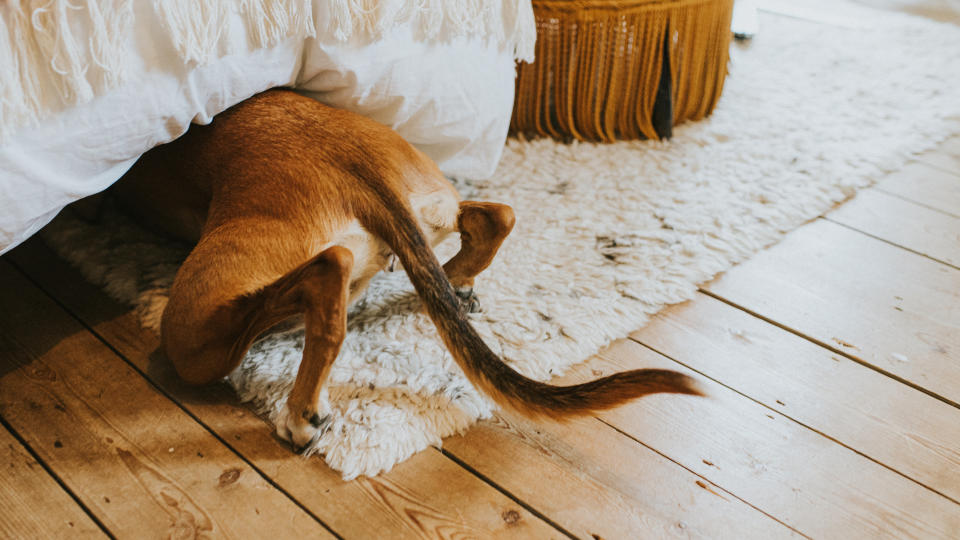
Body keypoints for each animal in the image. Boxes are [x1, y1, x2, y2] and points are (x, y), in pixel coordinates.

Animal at [112, 89, 700, 452]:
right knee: (495, 219)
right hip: (433, 201)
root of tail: (358, 166)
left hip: (192, 334)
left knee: (328, 273)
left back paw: (301, 413)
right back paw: (455, 283)